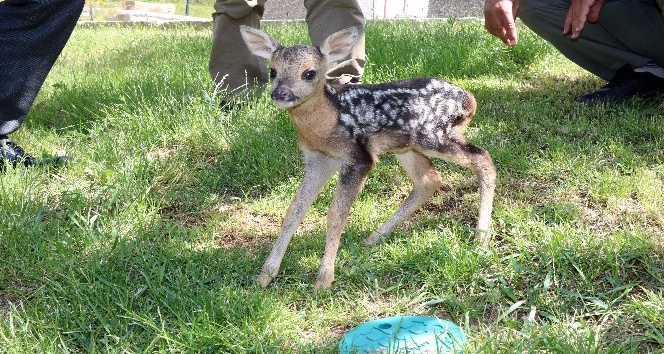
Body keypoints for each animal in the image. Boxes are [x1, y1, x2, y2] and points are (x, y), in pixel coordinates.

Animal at [241, 27, 496, 288]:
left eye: (309, 73)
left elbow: (336, 216)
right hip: (406, 146)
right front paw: (266, 274)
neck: (328, 121)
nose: (280, 93)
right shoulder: (318, 160)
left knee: (483, 158)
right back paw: (375, 236)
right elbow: (294, 211)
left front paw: (323, 279)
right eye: (273, 71)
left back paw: (481, 238)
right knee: (430, 180)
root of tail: (470, 100)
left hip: (435, 135)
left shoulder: (358, 158)